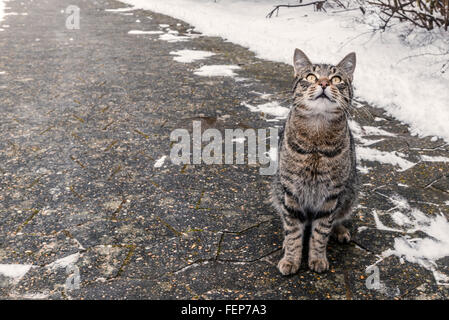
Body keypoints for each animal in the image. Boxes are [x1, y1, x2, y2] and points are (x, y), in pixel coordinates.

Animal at [270, 48, 356, 274]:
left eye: (336, 79)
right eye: (310, 77)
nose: (324, 83)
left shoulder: (331, 195)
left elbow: (321, 232)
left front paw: (317, 258)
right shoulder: (291, 191)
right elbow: (293, 232)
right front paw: (291, 259)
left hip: (350, 192)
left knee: (338, 218)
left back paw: (340, 230)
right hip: (277, 188)